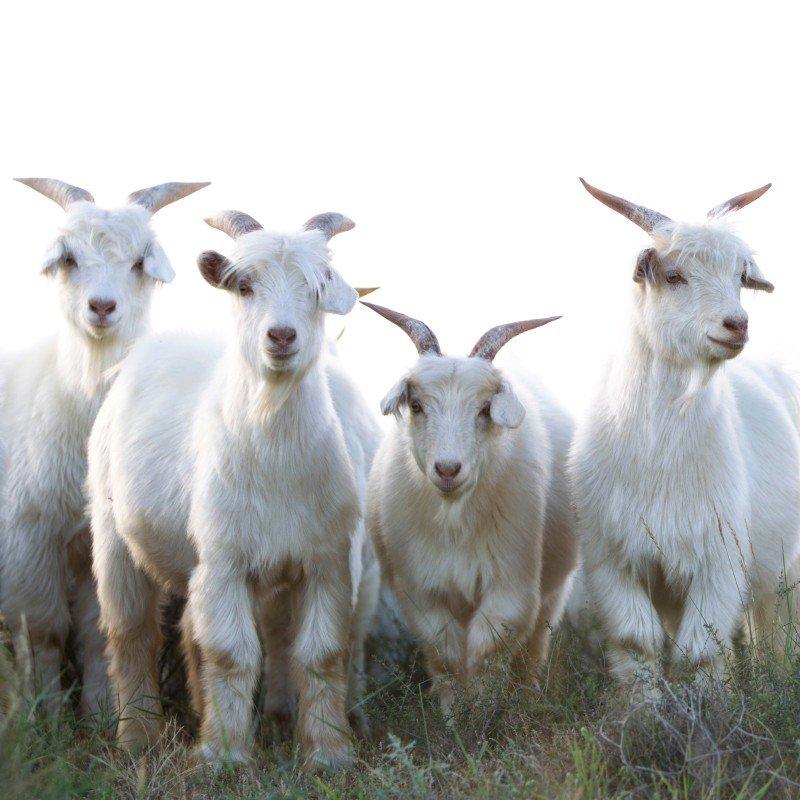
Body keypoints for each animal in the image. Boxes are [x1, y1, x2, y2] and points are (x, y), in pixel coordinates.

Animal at [0, 178, 208, 716]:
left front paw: (97, 714)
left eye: (138, 263)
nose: (101, 307)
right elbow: (45, 634)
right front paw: (48, 717)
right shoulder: (28, 541)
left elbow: (97, 634)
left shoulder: (94, 545)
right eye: (70, 258)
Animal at [87, 209, 381, 770]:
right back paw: (138, 737)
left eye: (318, 287)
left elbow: (322, 651)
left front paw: (329, 752)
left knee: (197, 632)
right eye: (244, 286)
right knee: (132, 631)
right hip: (113, 531)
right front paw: (223, 755)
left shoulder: (327, 559)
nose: (281, 336)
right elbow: (230, 651)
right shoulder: (224, 558)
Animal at [363, 303, 577, 717]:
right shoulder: (421, 589)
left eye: (484, 408)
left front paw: (483, 713)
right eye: (417, 405)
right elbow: (445, 652)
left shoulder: (510, 583)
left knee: (533, 647)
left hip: (553, 590)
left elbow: (486, 649)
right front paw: (454, 714)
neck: (454, 520)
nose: (448, 469)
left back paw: (526, 697)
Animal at [569, 179, 800, 692]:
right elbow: (638, 644)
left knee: (777, 628)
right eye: (673, 276)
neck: (660, 454)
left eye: (740, 277)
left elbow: (700, 652)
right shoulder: (614, 560)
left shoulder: (719, 560)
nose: (737, 325)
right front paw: (644, 712)